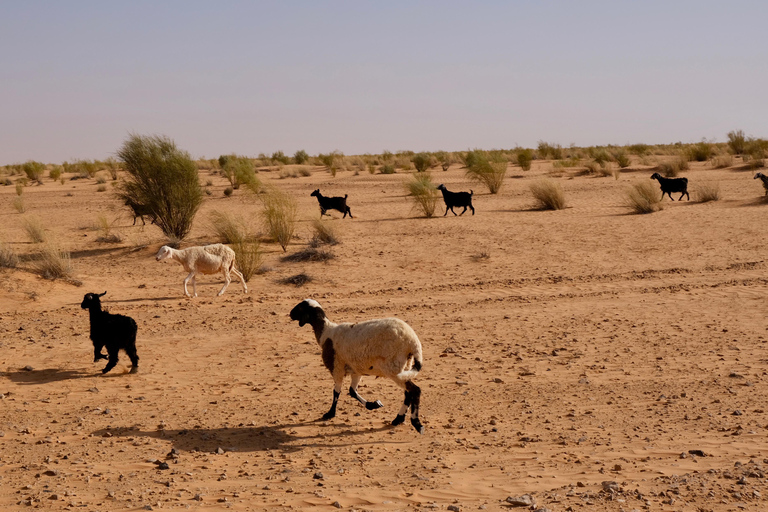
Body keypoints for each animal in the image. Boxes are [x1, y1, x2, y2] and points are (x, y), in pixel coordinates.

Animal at [290, 298, 426, 434]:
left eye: (300, 307)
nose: (290, 314)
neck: (326, 332)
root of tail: (413, 341)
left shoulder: (337, 368)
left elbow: (336, 392)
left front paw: (330, 413)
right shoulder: (356, 370)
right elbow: (352, 391)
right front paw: (373, 404)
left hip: (394, 368)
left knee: (415, 390)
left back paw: (416, 424)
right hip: (406, 366)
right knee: (408, 393)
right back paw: (398, 419)